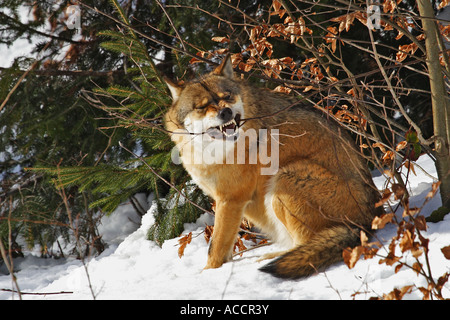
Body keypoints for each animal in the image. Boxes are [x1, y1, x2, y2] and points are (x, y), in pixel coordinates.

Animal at [163, 56, 382, 278]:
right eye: (202, 106)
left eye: (227, 96)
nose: (226, 112)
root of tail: (369, 220)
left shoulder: (230, 199)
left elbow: (215, 247)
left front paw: (208, 274)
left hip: (283, 180)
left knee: (304, 245)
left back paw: (269, 258)